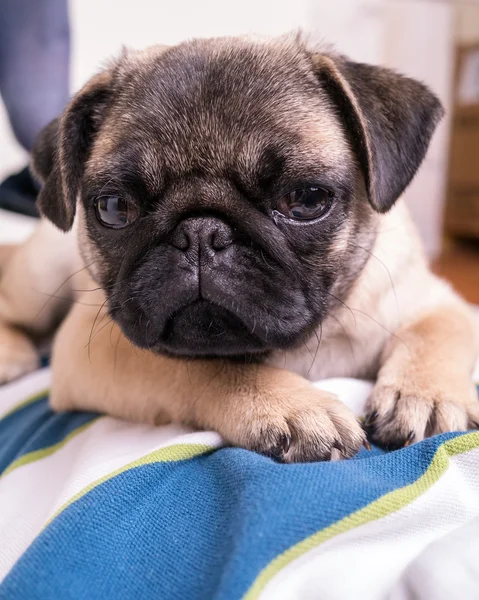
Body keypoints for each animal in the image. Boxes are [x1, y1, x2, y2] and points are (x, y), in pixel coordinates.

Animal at [0, 35, 479, 462]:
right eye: (115, 208)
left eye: (306, 199)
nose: (200, 233)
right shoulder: (95, 347)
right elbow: (207, 365)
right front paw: (294, 405)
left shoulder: (439, 300)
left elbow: (438, 332)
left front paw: (425, 395)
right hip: (40, 275)